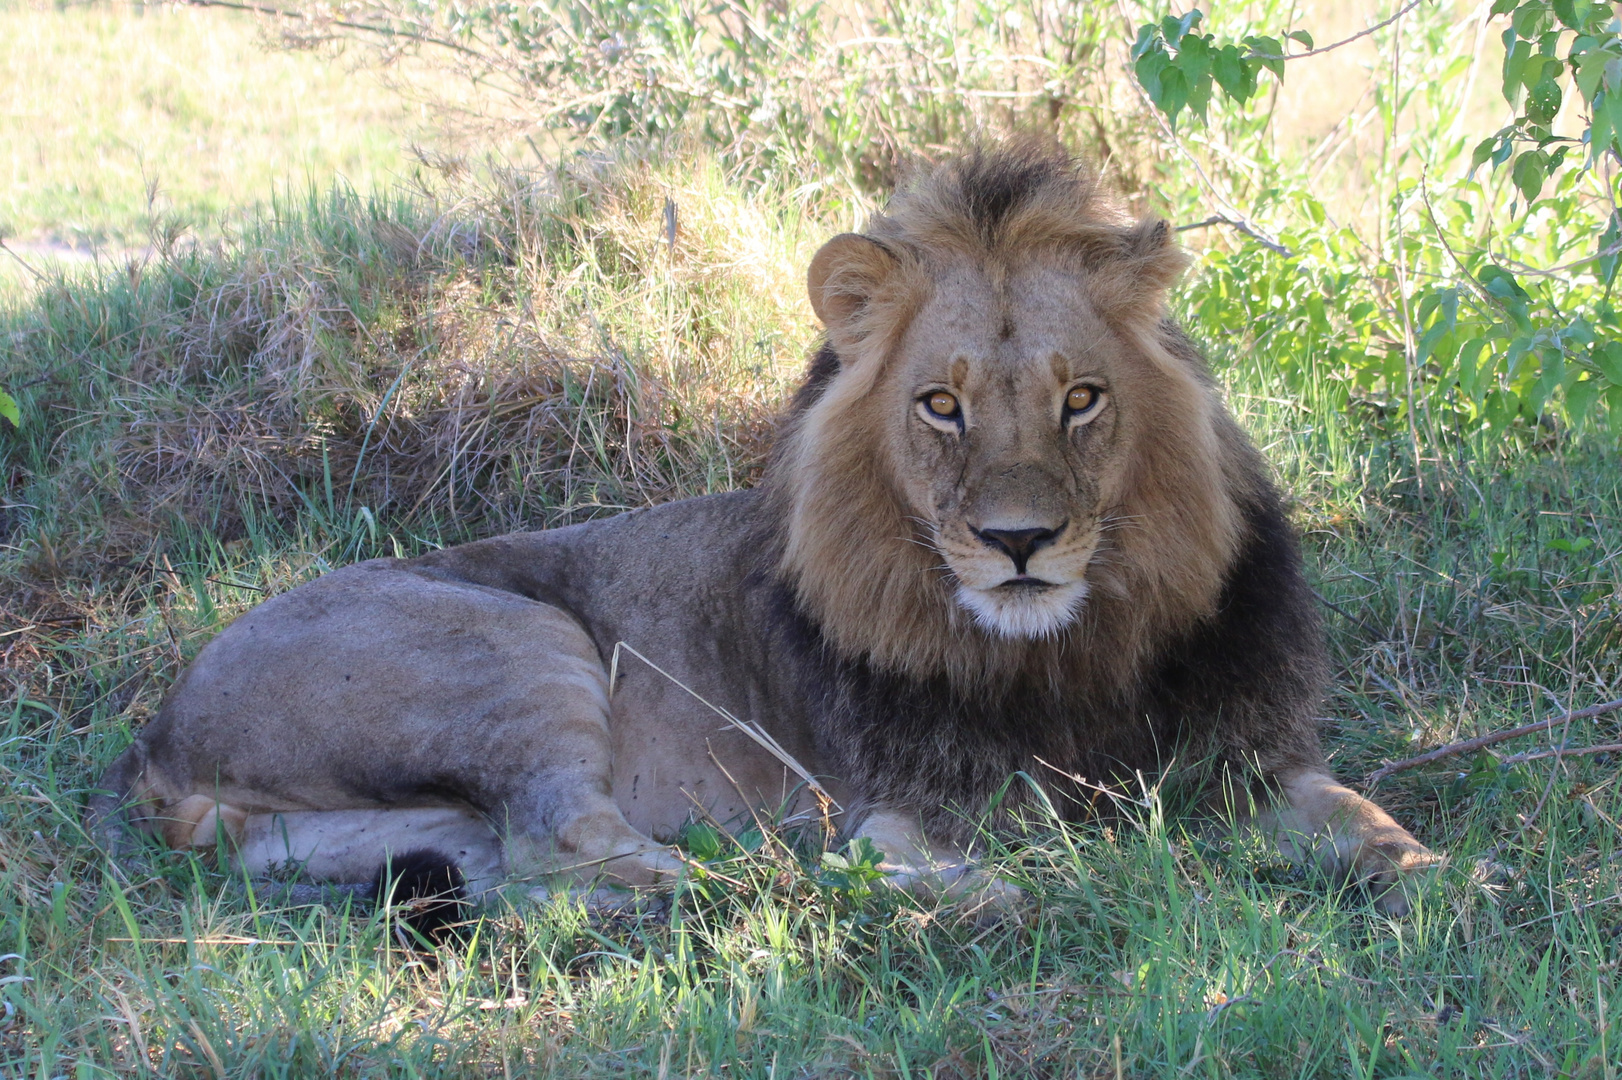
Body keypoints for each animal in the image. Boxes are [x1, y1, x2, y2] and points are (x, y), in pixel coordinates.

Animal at [88, 141, 1440, 914]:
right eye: (939, 405)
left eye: (1081, 400)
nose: (1017, 544)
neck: (1064, 654)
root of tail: (156, 735)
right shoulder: (891, 793)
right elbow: (933, 855)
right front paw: (978, 888)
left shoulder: (1247, 761)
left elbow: (1367, 823)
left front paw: (1437, 878)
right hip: (518, 646)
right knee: (563, 860)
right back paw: (754, 882)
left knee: (508, 868)